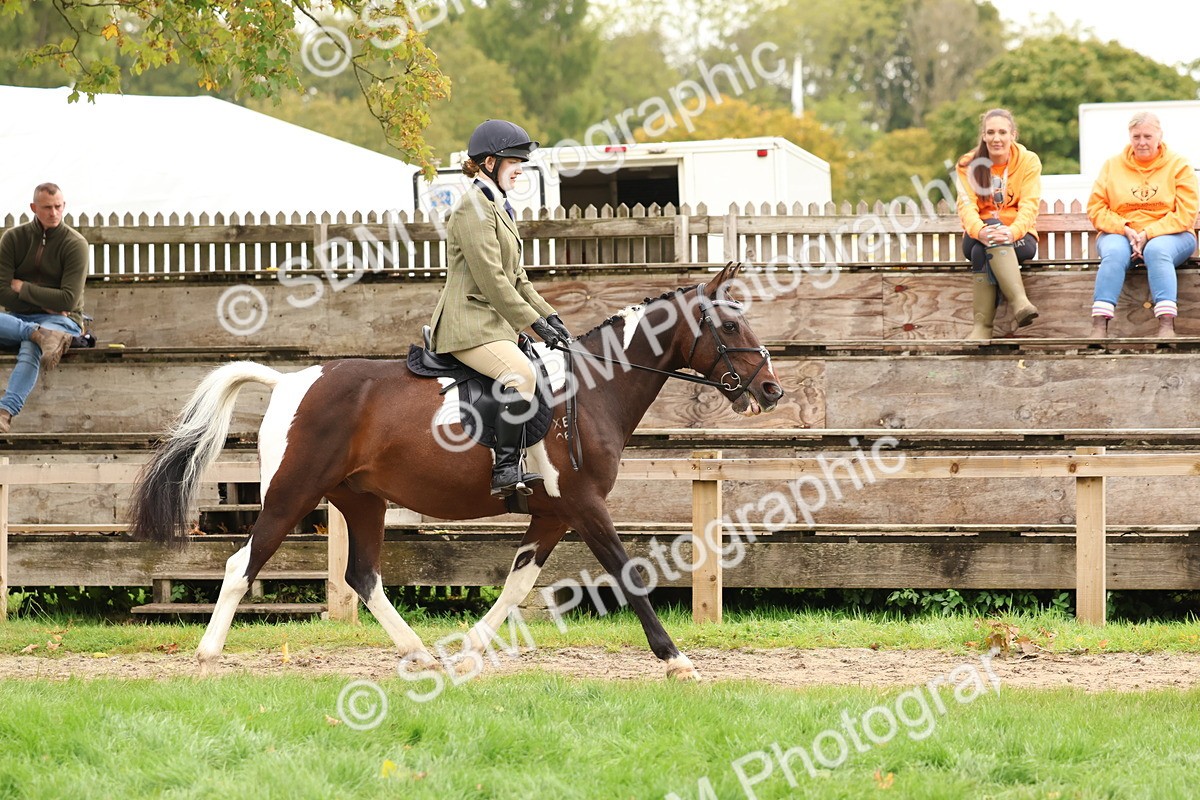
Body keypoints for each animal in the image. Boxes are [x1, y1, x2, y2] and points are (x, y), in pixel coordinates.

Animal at [129, 262, 784, 679]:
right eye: (729, 325)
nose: (771, 391)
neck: (592, 389)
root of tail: (291, 380)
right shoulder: (585, 505)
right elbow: (628, 574)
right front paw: (676, 660)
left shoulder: (553, 514)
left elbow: (518, 583)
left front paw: (469, 648)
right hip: (291, 495)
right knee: (242, 565)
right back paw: (207, 654)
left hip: (362, 500)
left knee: (362, 575)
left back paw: (419, 653)